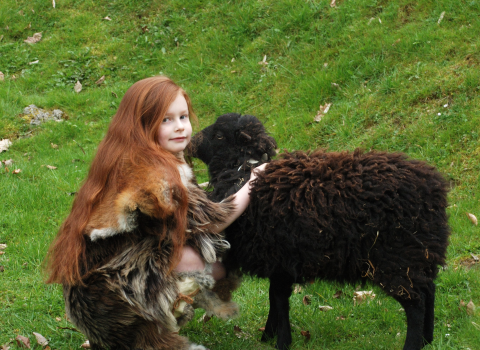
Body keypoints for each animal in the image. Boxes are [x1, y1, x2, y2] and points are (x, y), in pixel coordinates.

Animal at [190, 113, 450, 348]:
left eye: (219, 135)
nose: (192, 142)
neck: (243, 172)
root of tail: (433, 187)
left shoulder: (281, 259)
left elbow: (279, 300)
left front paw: (281, 341)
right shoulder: (279, 262)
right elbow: (275, 297)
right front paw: (269, 336)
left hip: (397, 258)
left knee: (415, 303)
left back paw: (414, 344)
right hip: (421, 254)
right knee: (429, 290)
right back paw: (428, 339)